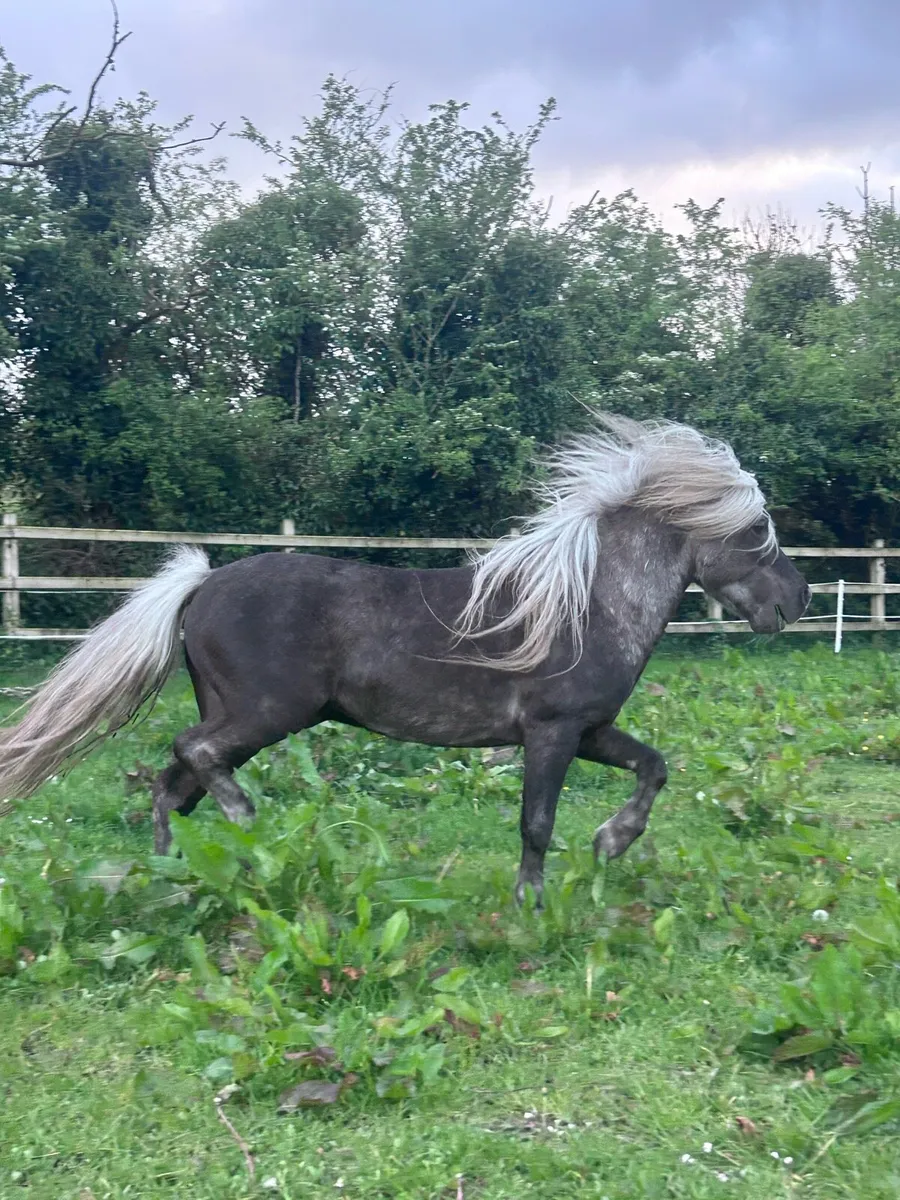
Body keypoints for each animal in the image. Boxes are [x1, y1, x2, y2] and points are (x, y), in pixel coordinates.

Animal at [0, 414, 810, 905]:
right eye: (756, 529)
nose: (797, 598)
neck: (586, 604)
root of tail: (201, 583)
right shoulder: (551, 733)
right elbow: (536, 823)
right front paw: (532, 905)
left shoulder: (591, 731)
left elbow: (655, 766)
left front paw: (611, 842)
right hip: (267, 714)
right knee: (192, 756)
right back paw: (247, 822)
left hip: (240, 715)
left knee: (172, 787)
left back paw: (174, 877)